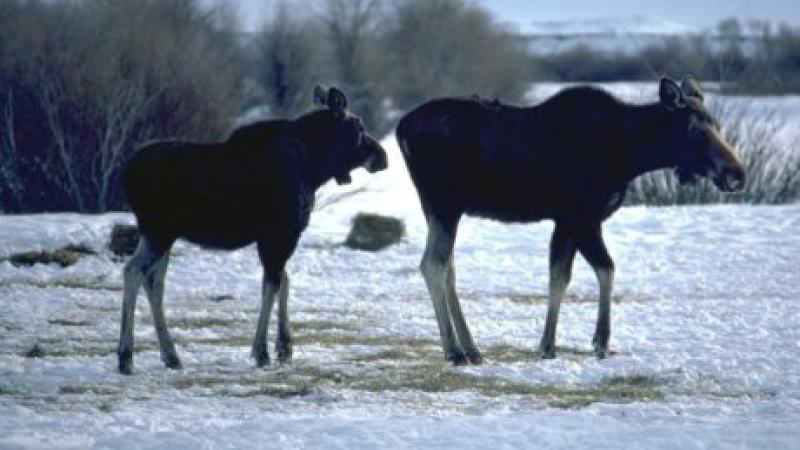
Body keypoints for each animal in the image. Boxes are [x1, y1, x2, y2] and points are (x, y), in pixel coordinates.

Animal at [118, 85, 388, 374]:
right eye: (359, 127)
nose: (384, 156)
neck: (315, 167)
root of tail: (127, 174)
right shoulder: (281, 233)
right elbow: (272, 286)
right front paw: (262, 351)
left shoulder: (275, 237)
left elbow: (283, 282)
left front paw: (285, 347)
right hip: (160, 231)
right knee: (134, 272)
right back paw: (126, 356)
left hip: (159, 233)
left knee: (153, 281)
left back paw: (170, 355)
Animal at [396, 77, 745, 365]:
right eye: (695, 130)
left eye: (717, 124)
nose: (737, 173)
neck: (629, 155)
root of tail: (401, 128)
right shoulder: (582, 217)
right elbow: (605, 269)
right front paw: (599, 342)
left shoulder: (567, 221)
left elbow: (559, 279)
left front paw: (548, 346)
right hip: (445, 203)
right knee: (433, 264)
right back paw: (454, 351)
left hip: (438, 208)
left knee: (448, 268)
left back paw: (470, 348)